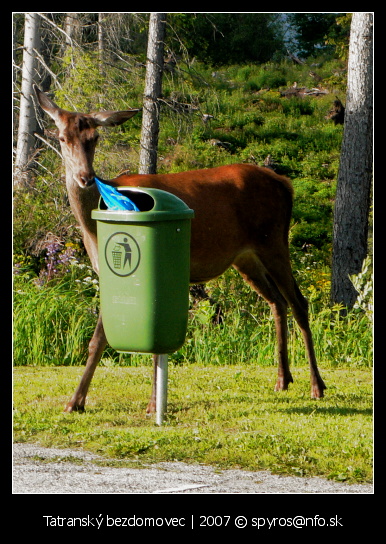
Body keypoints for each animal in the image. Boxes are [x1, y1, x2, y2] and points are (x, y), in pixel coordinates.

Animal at [34, 87, 328, 414]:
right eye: (62, 138)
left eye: (94, 138)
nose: (85, 177)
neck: (93, 228)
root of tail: (286, 183)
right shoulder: (105, 275)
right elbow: (98, 340)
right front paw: (75, 401)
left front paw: (152, 404)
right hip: (245, 257)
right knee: (277, 302)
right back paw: (282, 379)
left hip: (273, 241)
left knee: (299, 302)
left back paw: (316, 385)